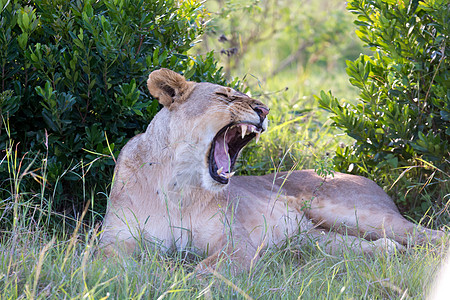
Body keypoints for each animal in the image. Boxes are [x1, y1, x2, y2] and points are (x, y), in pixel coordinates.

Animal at [101, 68, 442, 272]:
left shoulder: (236, 244)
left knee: (432, 234)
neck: (178, 185)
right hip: (313, 239)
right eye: (223, 95)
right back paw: (386, 252)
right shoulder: (115, 240)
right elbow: (105, 263)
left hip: (358, 214)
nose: (264, 110)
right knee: (369, 246)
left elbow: (206, 271)